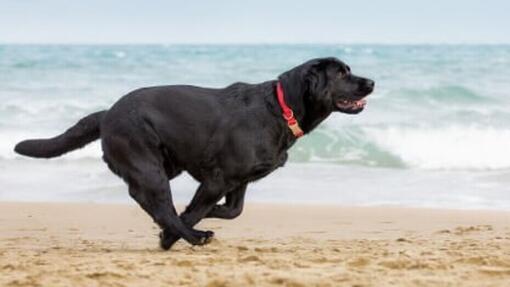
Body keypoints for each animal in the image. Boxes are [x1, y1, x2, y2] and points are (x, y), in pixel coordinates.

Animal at [14, 57, 374, 251]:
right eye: (341, 74)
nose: (371, 82)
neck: (281, 108)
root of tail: (106, 115)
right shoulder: (219, 178)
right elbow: (194, 210)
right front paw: (174, 234)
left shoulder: (238, 181)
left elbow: (233, 211)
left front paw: (208, 214)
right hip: (149, 167)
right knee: (159, 206)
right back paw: (190, 236)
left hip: (166, 165)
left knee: (151, 203)